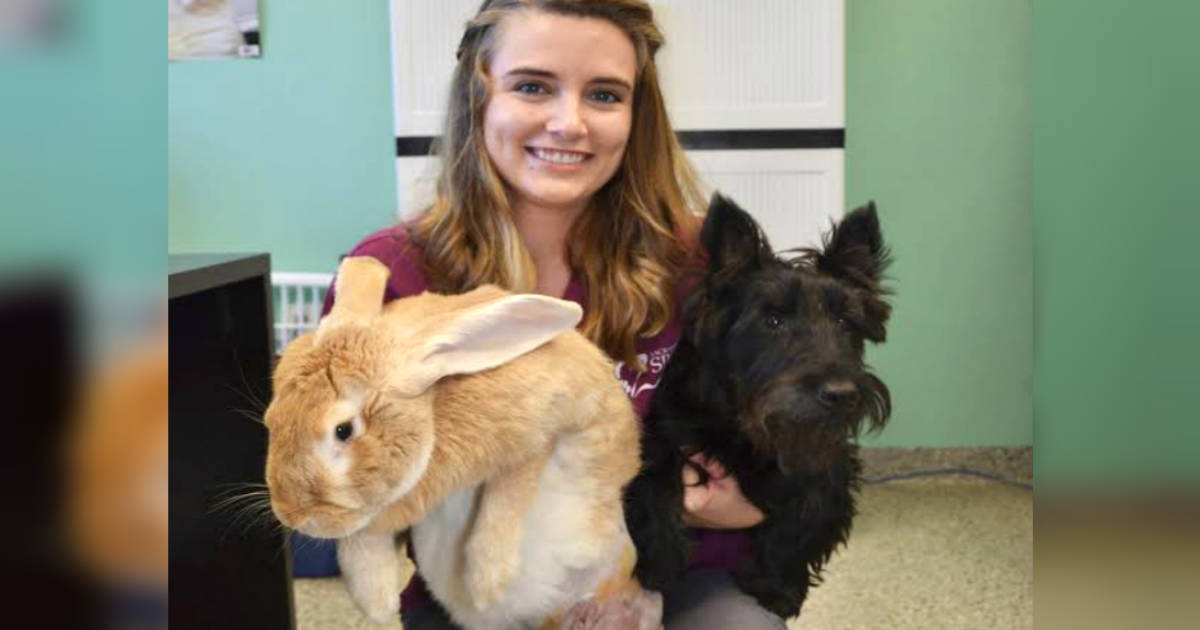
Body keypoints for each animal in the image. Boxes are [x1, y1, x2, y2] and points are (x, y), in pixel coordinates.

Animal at [264, 256, 662, 628]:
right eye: (272, 417)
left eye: (343, 430)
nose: (292, 516)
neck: (433, 408)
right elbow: (359, 539)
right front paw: (377, 603)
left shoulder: (543, 434)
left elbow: (506, 498)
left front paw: (487, 583)